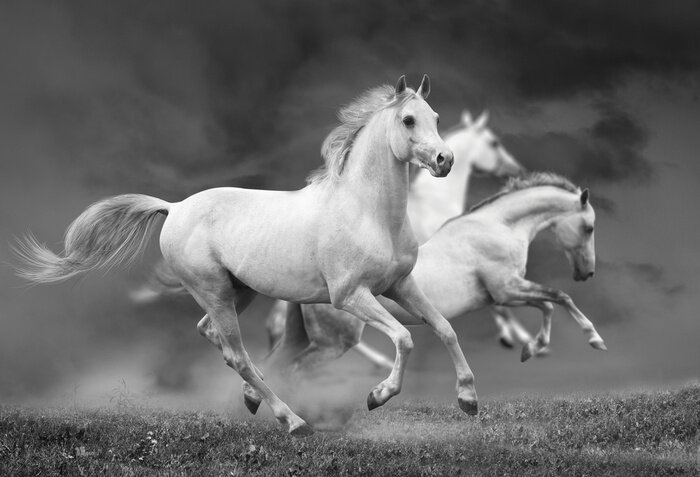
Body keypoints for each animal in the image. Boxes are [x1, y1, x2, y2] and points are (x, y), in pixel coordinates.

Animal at [14, 75, 482, 435]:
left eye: (436, 118)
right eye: (408, 119)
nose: (445, 160)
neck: (368, 212)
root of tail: (174, 207)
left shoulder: (400, 285)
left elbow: (444, 329)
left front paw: (468, 399)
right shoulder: (351, 295)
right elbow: (404, 338)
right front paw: (377, 396)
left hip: (240, 291)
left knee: (215, 336)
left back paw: (254, 398)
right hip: (216, 291)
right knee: (237, 354)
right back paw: (292, 421)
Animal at [259, 172, 607, 397]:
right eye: (589, 227)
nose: (587, 273)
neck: (497, 227)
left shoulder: (502, 295)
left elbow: (548, 304)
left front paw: (531, 348)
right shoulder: (507, 289)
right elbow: (559, 296)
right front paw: (595, 339)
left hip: (307, 340)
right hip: (334, 343)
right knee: (295, 372)